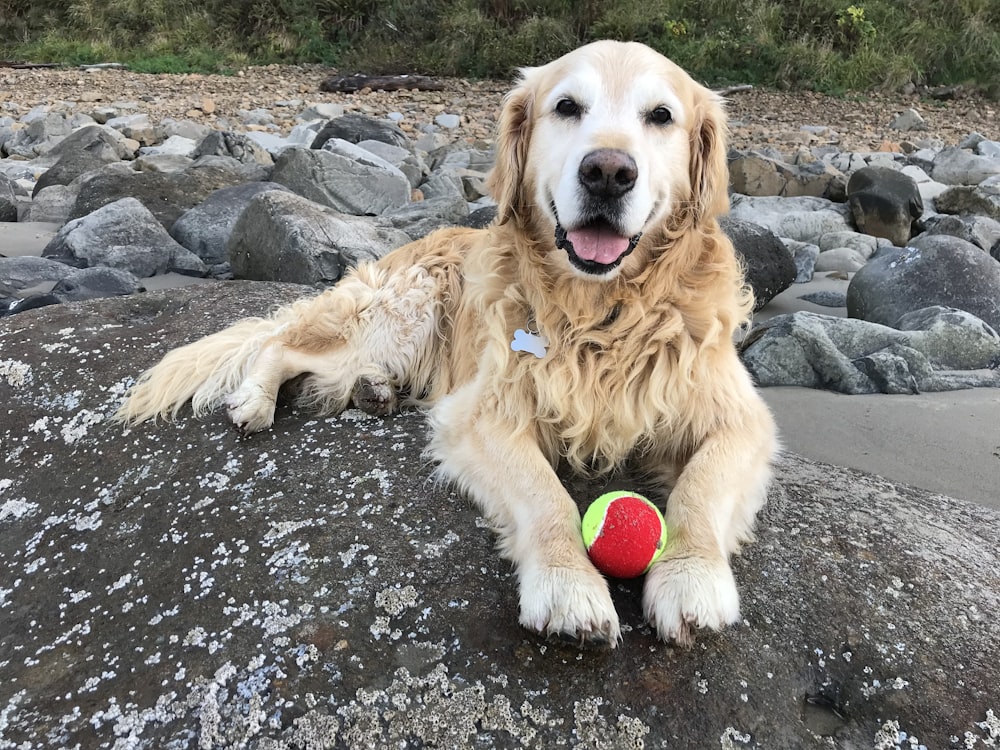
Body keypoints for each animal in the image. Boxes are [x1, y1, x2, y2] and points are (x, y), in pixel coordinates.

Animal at [115, 41, 772, 648]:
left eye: (660, 116)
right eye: (567, 106)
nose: (608, 172)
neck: (601, 311)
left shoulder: (740, 418)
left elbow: (700, 486)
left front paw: (690, 577)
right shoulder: (483, 412)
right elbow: (545, 496)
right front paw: (567, 586)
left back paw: (374, 391)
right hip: (403, 310)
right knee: (281, 343)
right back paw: (256, 400)